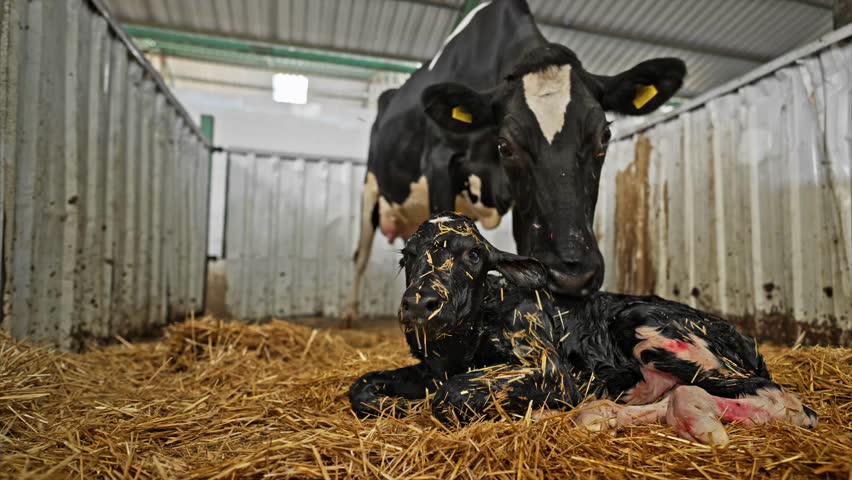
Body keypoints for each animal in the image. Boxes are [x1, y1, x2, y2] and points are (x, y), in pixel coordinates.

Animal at [342, 0, 687, 324]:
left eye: (605, 135)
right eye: (505, 146)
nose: (572, 276)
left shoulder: (526, 206)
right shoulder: (439, 162)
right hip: (370, 190)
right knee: (360, 255)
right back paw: (350, 314)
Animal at [349, 213, 818, 446]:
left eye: (474, 255)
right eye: (407, 257)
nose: (420, 303)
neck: (465, 343)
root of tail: (745, 339)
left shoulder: (549, 369)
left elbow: (450, 395)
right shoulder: (429, 368)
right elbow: (362, 387)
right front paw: (391, 404)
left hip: (656, 328)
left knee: (783, 402)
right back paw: (602, 416)